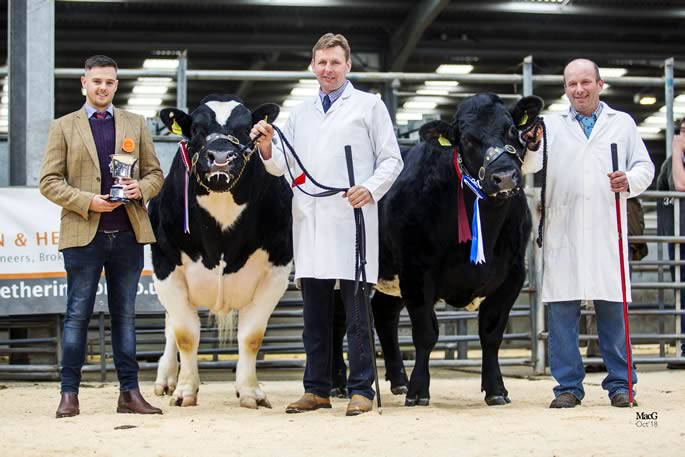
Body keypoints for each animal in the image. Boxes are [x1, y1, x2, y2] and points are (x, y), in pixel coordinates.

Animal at [150, 94, 292, 408]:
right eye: (197, 129)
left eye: (247, 129)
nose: (220, 157)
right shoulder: (166, 267)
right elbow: (185, 334)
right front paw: (185, 391)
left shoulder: (276, 271)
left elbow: (251, 336)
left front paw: (250, 391)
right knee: (169, 325)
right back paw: (166, 379)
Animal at [328, 93, 544, 406]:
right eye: (467, 140)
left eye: (512, 130)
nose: (504, 177)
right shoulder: (417, 273)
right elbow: (426, 333)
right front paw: (419, 391)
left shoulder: (512, 276)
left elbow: (491, 333)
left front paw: (496, 389)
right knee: (336, 320)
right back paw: (338, 384)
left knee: (383, 313)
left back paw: (399, 381)